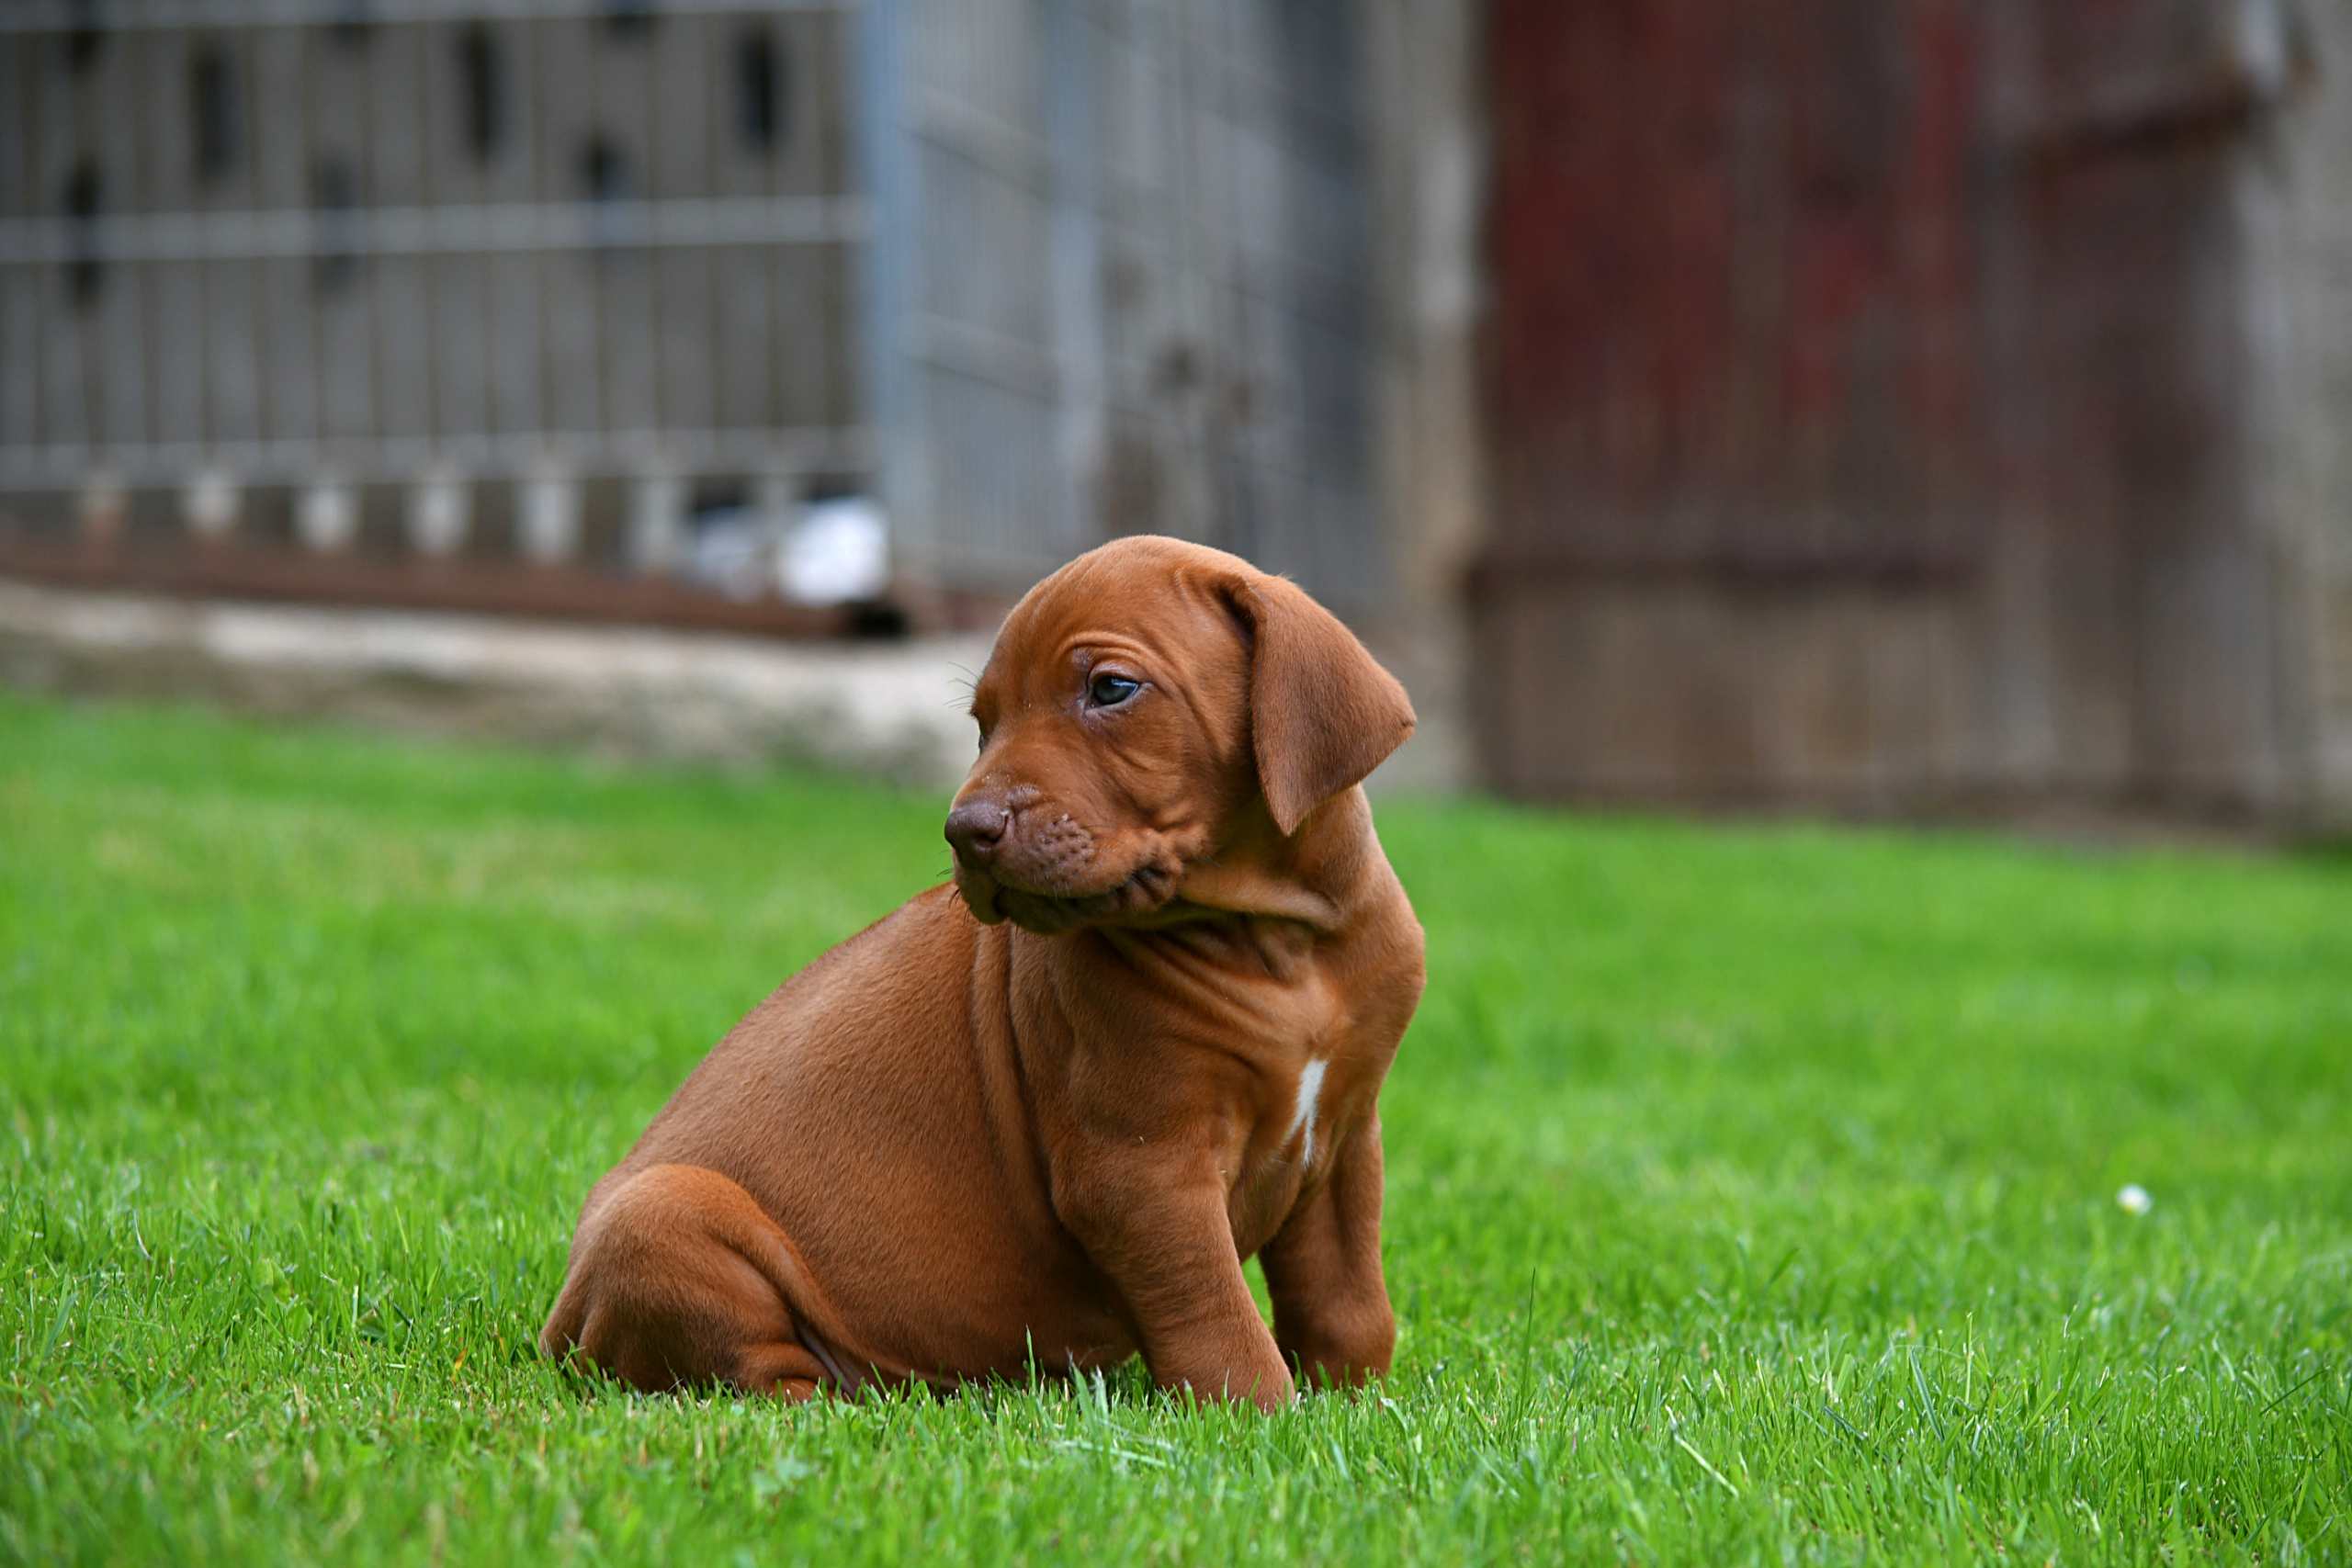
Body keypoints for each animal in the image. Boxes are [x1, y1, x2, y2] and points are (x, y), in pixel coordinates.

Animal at [540, 535, 1424, 1409]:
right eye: (983, 723)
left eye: (1112, 689)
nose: (966, 829)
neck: (1278, 947)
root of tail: (558, 1327)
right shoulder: (1140, 1167)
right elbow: (1215, 1317)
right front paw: (1261, 1419)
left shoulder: (1346, 1135)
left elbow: (1348, 1299)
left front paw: (1353, 1402)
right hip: (664, 1215)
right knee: (746, 1370)